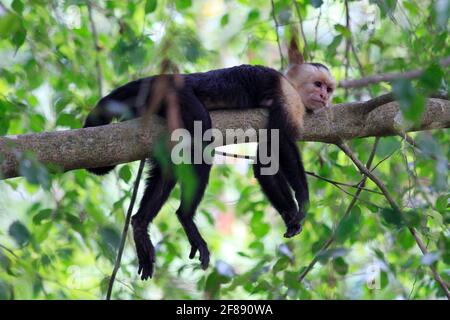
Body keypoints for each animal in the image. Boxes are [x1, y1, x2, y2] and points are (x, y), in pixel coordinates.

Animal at [83, 37, 334, 278]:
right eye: (318, 84)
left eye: (329, 89)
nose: (324, 96)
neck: (291, 85)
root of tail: (163, 79)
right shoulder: (289, 98)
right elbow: (282, 142)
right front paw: (303, 201)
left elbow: (265, 163)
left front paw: (290, 215)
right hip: (176, 96)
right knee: (202, 140)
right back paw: (185, 217)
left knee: (169, 166)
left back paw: (140, 225)